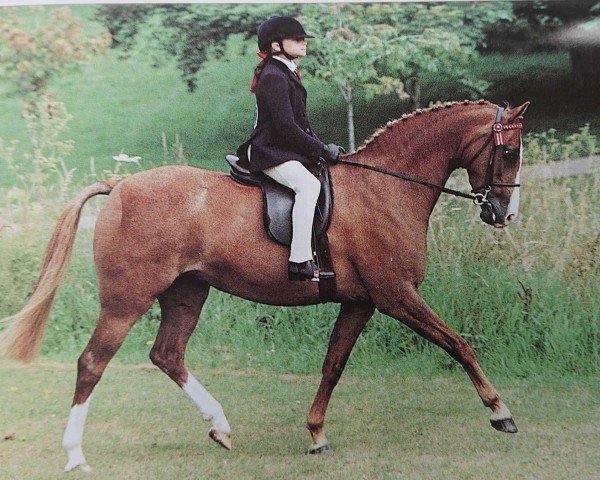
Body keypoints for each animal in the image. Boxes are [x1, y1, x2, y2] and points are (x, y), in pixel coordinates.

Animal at [0, 99, 528, 470]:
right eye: (509, 150)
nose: (503, 214)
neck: (387, 188)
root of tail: (120, 186)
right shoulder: (397, 296)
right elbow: (458, 344)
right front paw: (500, 412)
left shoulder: (360, 303)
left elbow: (333, 365)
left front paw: (316, 435)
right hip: (126, 300)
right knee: (92, 363)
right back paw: (76, 455)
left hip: (187, 293)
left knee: (167, 354)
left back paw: (220, 427)